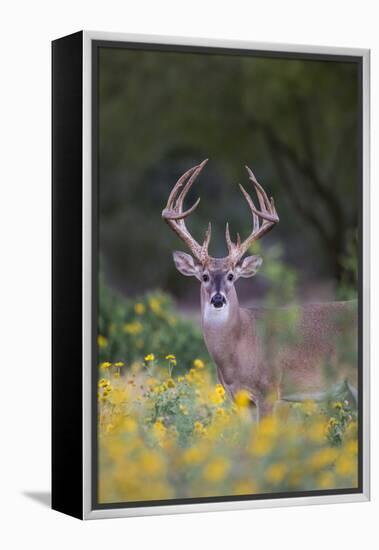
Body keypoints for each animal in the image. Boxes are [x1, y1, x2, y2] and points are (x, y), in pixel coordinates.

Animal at [162, 160, 358, 422]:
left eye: (231, 276)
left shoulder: (269, 390)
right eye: (204, 276)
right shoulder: (239, 398)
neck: (240, 345)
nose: (217, 299)